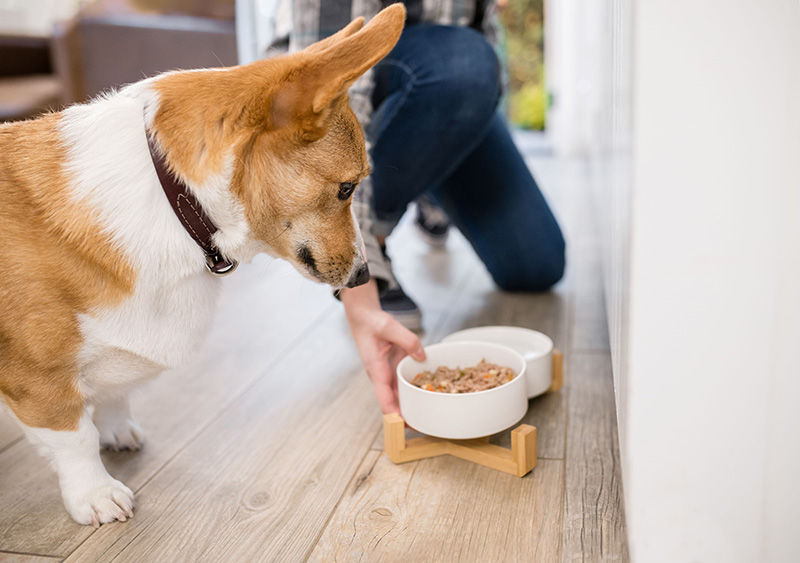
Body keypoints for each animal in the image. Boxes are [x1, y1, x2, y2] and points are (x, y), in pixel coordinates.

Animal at [0, 4, 404, 528]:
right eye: (347, 188)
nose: (363, 278)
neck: (175, 198)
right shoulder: (38, 376)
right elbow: (76, 437)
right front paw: (96, 494)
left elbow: (111, 393)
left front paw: (117, 428)